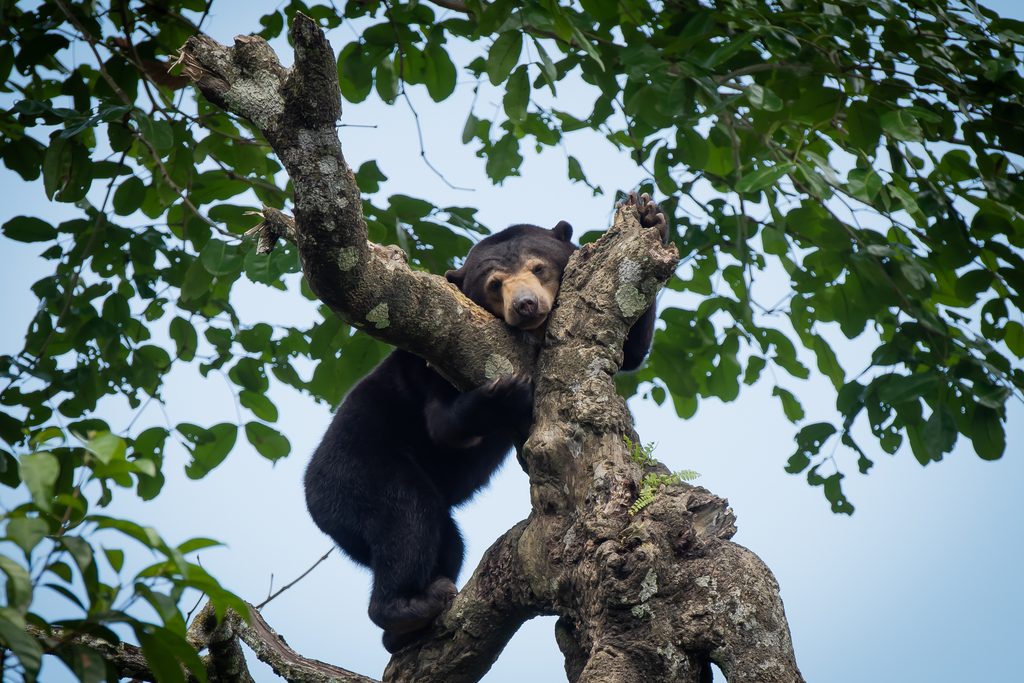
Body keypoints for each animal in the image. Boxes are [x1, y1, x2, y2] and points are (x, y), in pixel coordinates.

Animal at [304, 193, 669, 653]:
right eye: (495, 284)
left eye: (538, 267)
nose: (525, 305)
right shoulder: (431, 359)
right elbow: (443, 426)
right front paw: (510, 391)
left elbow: (630, 350)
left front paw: (650, 216)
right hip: (355, 472)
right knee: (406, 514)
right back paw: (407, 607)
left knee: (447, 538)